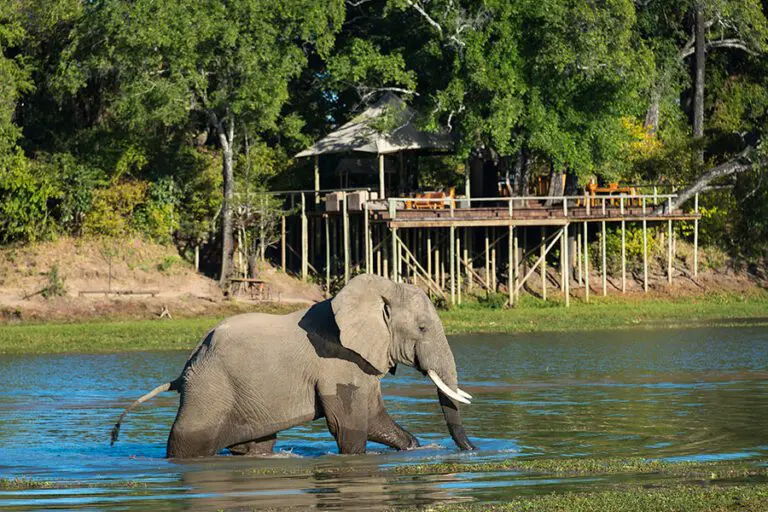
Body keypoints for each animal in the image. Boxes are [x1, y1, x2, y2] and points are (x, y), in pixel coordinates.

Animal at [110, 274, 475, 457]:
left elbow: (374, 419)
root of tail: (184, 368)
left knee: (256, 445)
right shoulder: (336, 363)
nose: (472, 451)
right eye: (423, 328)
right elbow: (349, 427)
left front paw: (415, 448)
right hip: (208, 391)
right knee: (187, 444)